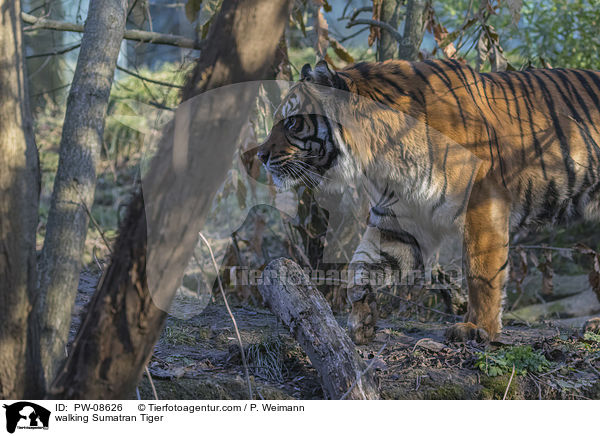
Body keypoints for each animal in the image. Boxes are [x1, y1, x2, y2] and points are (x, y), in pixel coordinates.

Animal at [258, 58, 600, 344]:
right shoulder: (398, 219)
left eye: (292, 122)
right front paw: (361, 321)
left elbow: (481, 271)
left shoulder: (482, 200)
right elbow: (361, 265)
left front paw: (479, 329)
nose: (260, 155)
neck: (381, 155)